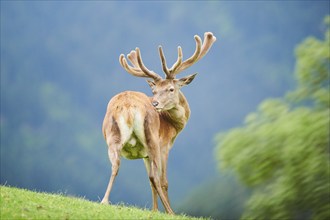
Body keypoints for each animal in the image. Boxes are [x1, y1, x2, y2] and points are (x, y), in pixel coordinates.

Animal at [102, 31, 218, 214]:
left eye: (170, 89)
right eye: (154, 90)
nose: (155, 103)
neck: (173, 126)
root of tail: (128, 106)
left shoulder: (144, 154)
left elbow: (149, 183)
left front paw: (154, 210)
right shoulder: (165, 145)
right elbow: (163, 181)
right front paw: (164, 211)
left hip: (112, 135)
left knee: (116, 165)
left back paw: (105, 201)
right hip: (152, 138)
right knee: (155, 177)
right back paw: (171, 211)